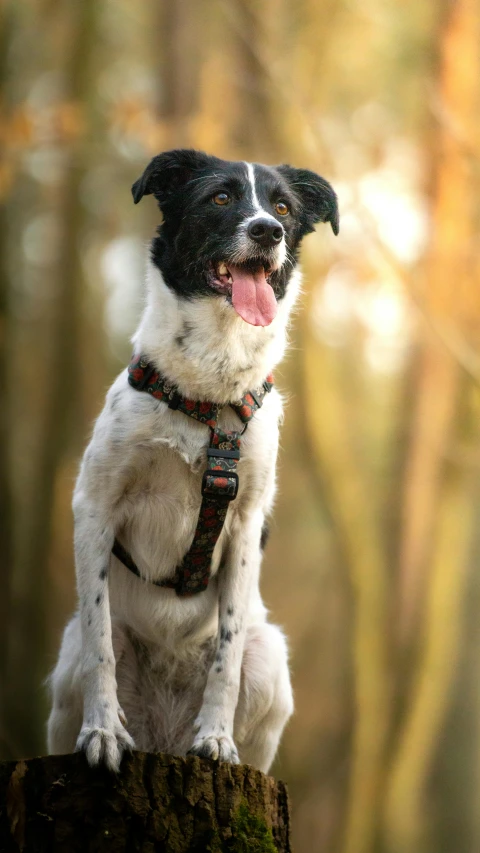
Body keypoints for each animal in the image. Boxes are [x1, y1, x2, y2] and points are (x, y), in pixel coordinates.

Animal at [46, 146, 338, 772]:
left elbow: (225, 656)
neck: (209, 393)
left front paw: (217, 739)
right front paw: (102, 731)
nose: (268, 230)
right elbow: (101, 645)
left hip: (269, 660)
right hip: (67, 662)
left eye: (283, 206)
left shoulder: (246, 524)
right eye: (221, 197)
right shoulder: (95, 506)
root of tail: (163, 737)